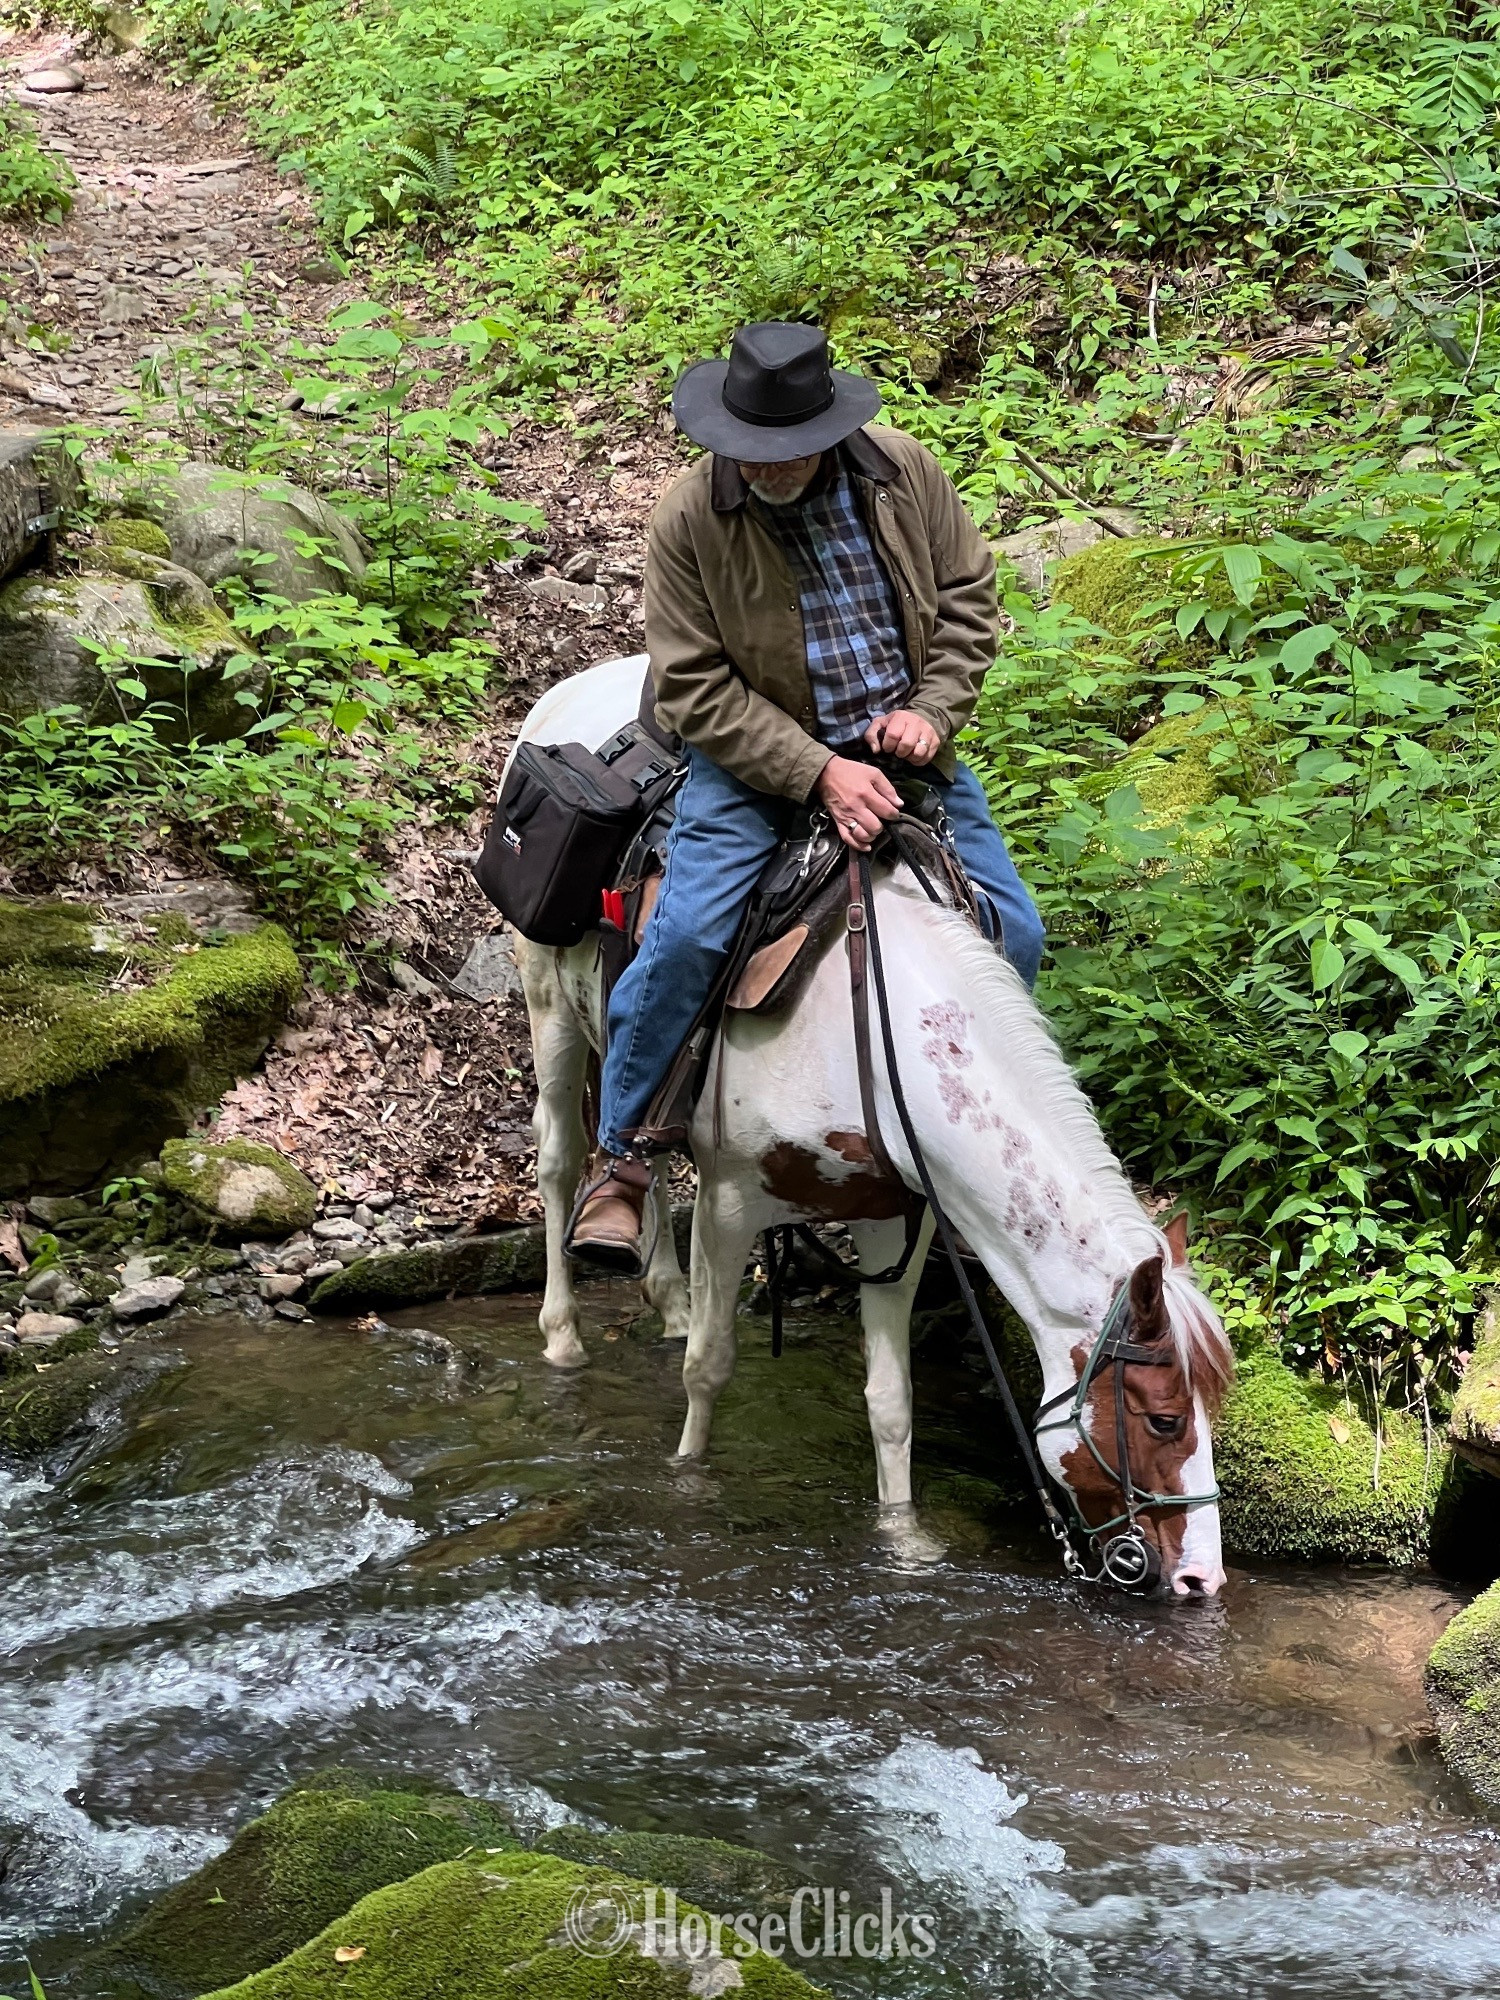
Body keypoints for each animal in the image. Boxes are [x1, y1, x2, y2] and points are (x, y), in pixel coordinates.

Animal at [508, 653, 1233, 1595]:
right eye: (1160, 1420)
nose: (1203, 1581)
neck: (874, 1033)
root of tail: (571, 687)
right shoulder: (734, 1203)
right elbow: (712, 1366)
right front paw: (689, 1483)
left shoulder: (896, 1220)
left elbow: (892, 1402)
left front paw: (902, 1538)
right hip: (550, 1009)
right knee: (562, 1159)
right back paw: (563, 1333)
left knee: (646, 1156)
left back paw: (661, 1296)